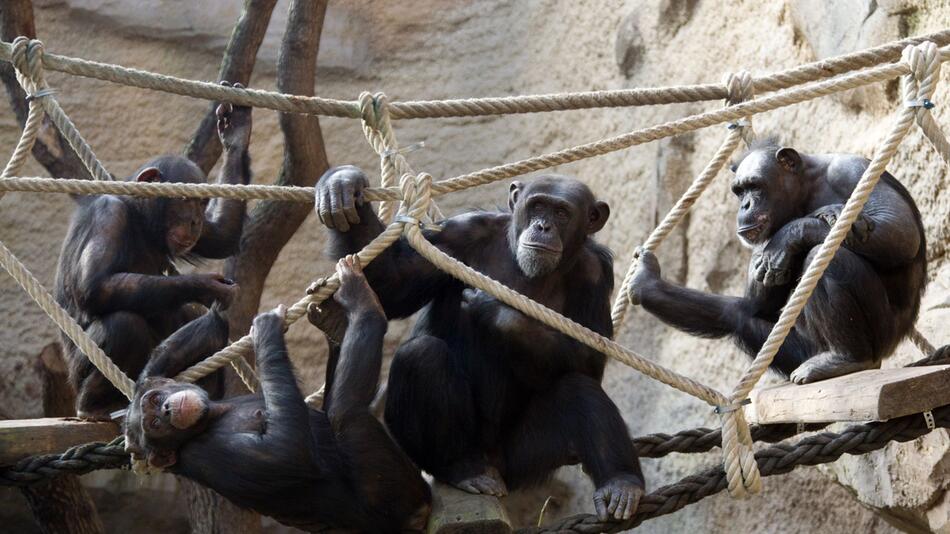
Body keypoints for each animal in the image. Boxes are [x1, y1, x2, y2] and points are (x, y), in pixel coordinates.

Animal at [54, 81, 251, 420]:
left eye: (202, 201)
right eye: (186, 199)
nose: (195, 220)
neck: (139, 216)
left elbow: (222, 236)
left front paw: (236, 131)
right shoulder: (109, 215)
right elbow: (96, 286)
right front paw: (207, 286)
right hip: (78, 374)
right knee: (123, 324)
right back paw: (96, 404)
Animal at [122, 258, 432, 532]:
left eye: (154, 401)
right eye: (154, 426)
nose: (165, 411)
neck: (214, 416)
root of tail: (419, 515)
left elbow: (207, 334)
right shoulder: (207, 455)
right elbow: (286, 452)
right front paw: (265, 329)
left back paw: (334, 320)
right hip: (391, 494)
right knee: (345, 412)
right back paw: (361, 300)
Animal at [320, 168, 648, 524]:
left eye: (561, 213)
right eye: (537, 206)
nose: (543, 227)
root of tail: (492, 465)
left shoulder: (595, 271)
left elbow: (591, 359)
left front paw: (497, 311)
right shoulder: (459, 234)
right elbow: (392, 284)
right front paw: (342, 185)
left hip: (521, 460)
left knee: (580, 390)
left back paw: (620, 483)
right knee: (422, 356)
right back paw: (462, 468)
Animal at [632, 141, 928, 386]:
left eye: (754, 186)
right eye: (739, 191)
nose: (744, 205)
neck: (805, 188)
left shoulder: (851, 170)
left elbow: (898, 230)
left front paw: (794, 233)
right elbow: (757, 304)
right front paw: (648, 282)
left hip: (882, 334)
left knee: (826, 257)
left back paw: (847, 358)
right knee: (739, 314)